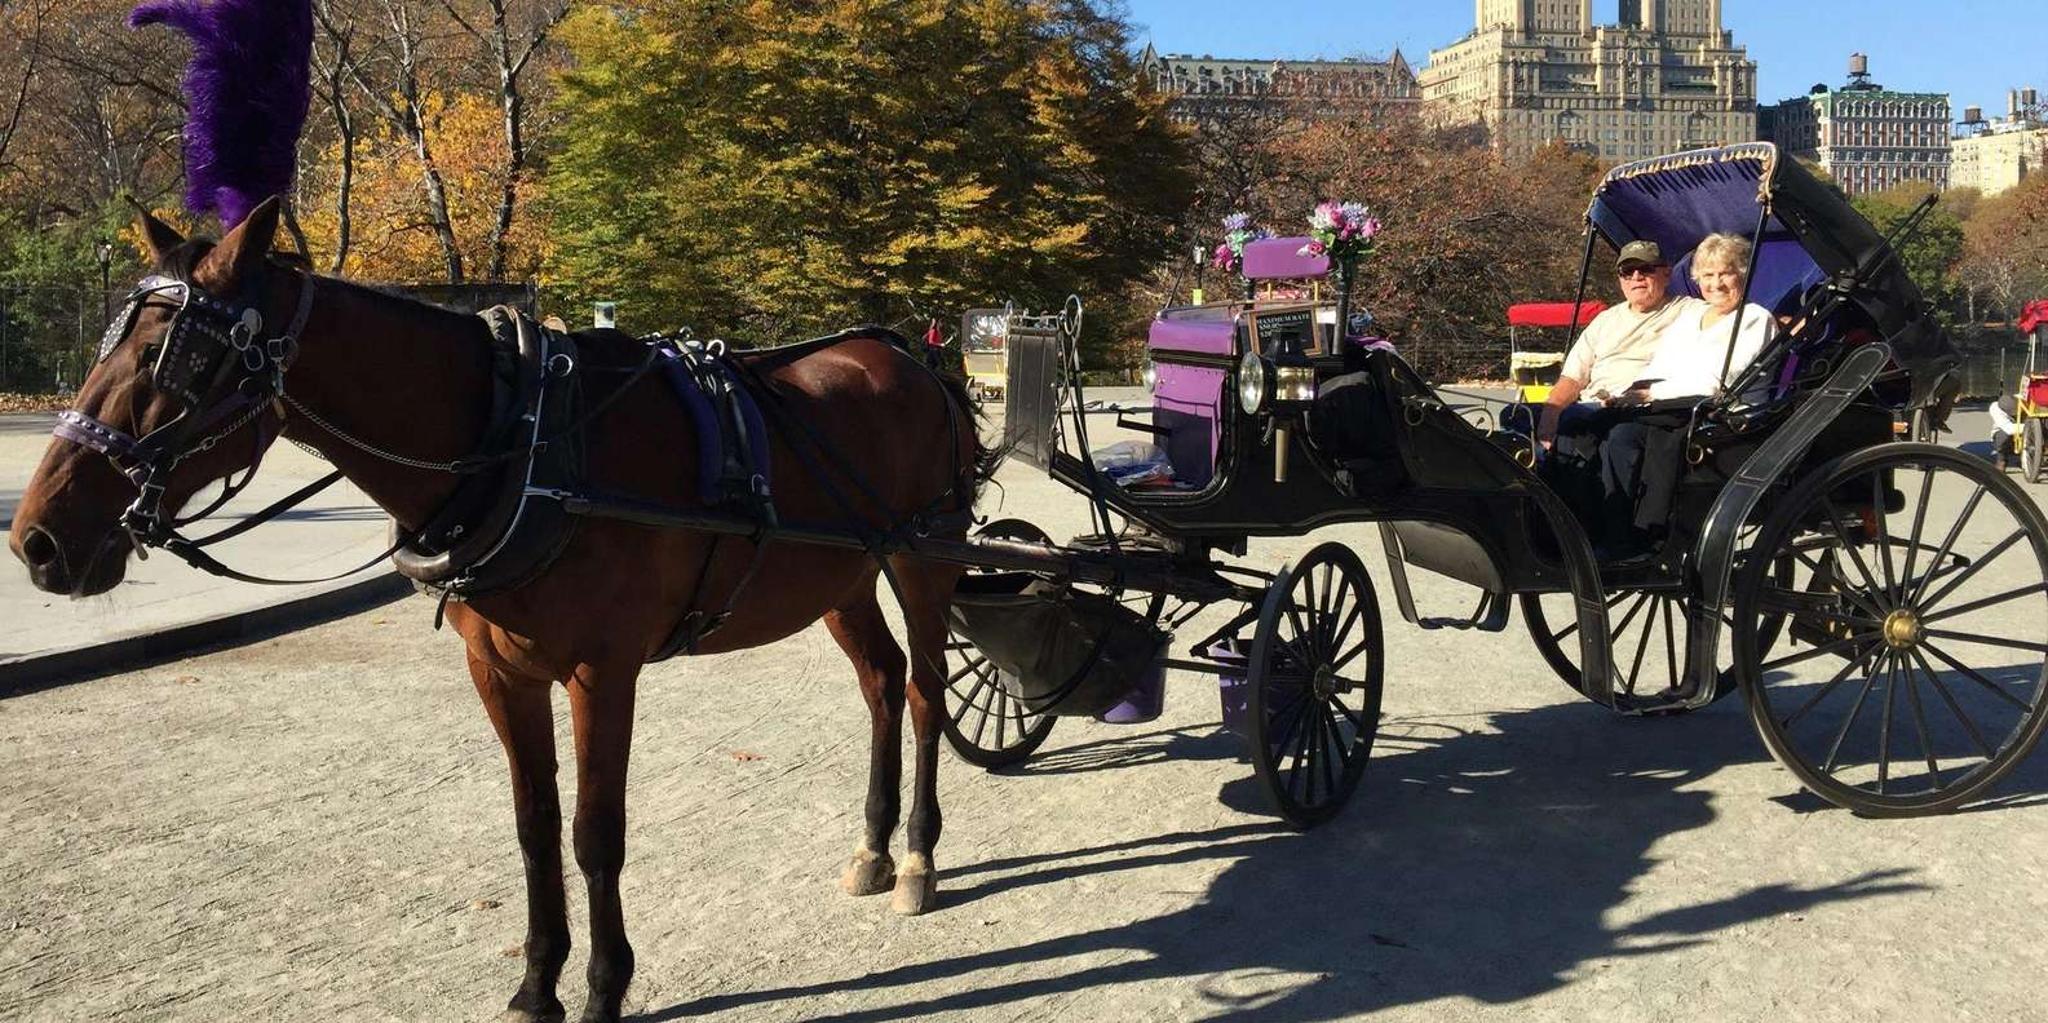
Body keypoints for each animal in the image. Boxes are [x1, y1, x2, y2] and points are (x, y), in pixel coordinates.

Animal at [8, 197, 992, 1023]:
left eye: (173, 357)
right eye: (108, 344)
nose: (37, 541)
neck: (523, 436)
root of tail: (912, 359)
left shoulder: (604, 672)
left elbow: (595, 833)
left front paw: (604, 987)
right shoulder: (500, 671)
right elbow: (533, 825)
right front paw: (536, 983)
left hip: (923, 559)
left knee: (926, 693)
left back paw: (918, 853)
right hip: (842, 579)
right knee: (881, 682)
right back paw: (873, 845)